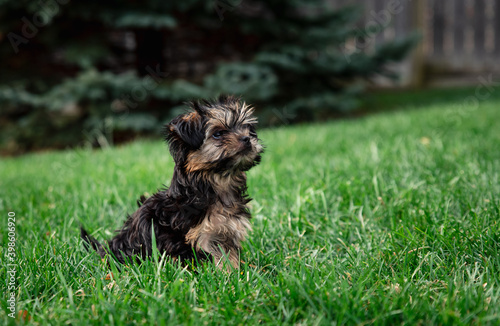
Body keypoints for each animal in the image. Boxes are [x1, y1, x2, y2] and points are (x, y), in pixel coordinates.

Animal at [80, 95, 264, 270]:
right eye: (218, 134)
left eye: (247, 129)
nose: (247, 138)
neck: (218, 182)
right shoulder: (200, 237)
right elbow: (215, 259)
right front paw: (223, 275)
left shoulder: (227, 231)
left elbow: (229, 256)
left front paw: (235, 272)